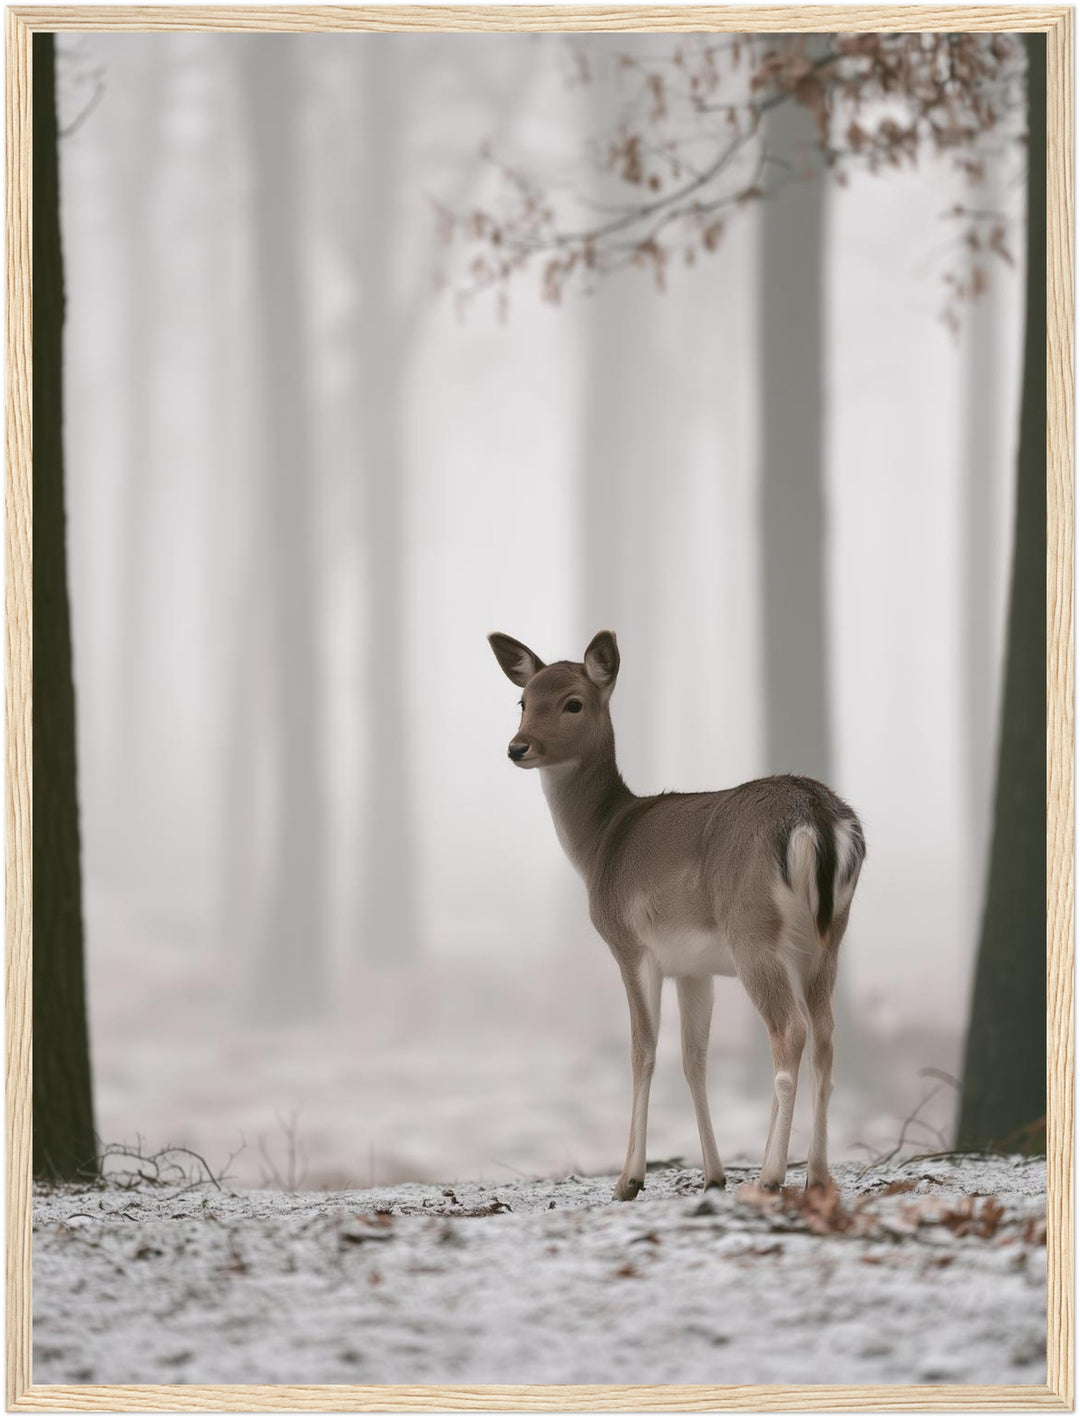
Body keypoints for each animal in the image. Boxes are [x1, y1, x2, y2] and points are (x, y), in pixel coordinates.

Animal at [488, 629, 866, 1202]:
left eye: (573, 702)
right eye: (523, 700)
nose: (518, 747)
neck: (600, 843)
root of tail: (817, 817)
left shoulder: (631, 944)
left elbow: (643, 1052)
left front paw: (628, 1179)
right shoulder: (693, 967)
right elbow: (694, 1058)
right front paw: (713, 1174)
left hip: (753, 931)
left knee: (791, 1032)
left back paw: (772, 1175)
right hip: (829, 937)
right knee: (825, 1036)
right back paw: (818, 1177)